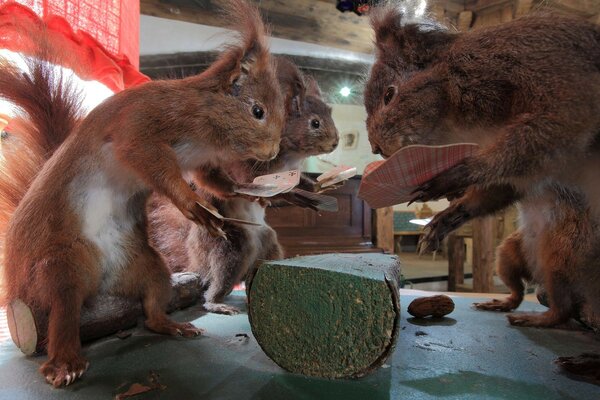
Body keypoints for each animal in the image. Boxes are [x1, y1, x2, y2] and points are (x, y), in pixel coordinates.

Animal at [0, 0, 284, 388]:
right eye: (257, 111)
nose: (273, 152)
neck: (205, 126)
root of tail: (100, 285)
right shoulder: (141, 124)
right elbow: (150, 160)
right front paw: (194, 206)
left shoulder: (203, 160)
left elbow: (214, 181)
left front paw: (253, 191)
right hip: (60, 266)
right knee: (62, 312)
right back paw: (64, 362)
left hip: (145, 264)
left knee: (151, 305)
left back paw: (171, 325)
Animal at [148, 56, 340, 314]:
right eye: (315, 123)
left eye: (330, 113)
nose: (336, 142)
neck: (291, 155)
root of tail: (195, 258)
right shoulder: (245, 167)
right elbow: (255, 185)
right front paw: (292, 195)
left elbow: (297, 185)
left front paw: (317, 188)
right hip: (232, 248)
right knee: (214, 285)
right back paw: (218, 303)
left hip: (269, 246)